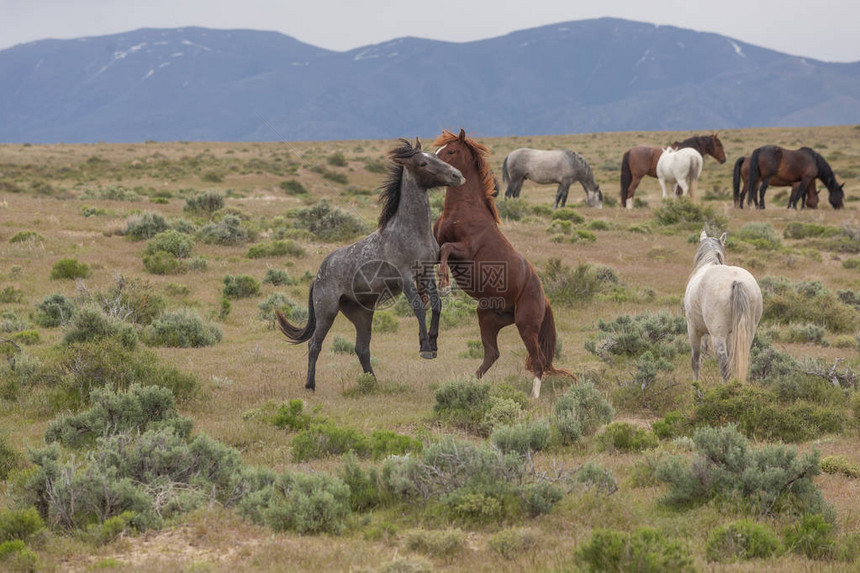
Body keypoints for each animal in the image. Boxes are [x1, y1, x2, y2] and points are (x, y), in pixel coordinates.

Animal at [276, 138, 464, 388]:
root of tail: (317, 277)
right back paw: (310, 384)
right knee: (314, 344)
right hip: (327, 313)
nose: (457, 175)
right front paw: (425, 348)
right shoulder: (404, 275)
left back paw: (372, 382)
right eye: (423, 163)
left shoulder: (425, 271)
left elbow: (436, 304)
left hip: (362, 315)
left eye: (436, 156)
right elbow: (418, 307)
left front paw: (433, 345)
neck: (411, 231)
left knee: (361, 348)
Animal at [430, 130, 572, 398]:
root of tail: (544, 298)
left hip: (526, 326)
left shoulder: (464, 250)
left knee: (537, 360)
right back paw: (471, 384)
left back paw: (533, 397)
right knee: (492, 354)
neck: (464, 209)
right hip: (487, 317)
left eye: (451, 151)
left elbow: (446, 249)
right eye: (438, 150)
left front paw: (444, 285)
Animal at [680, 230, 764, 382]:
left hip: (717, 335)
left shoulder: (692, 329)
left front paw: (695, 385)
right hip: (748, 332)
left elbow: (695, 361)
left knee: (723, 365)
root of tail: (736, 281)